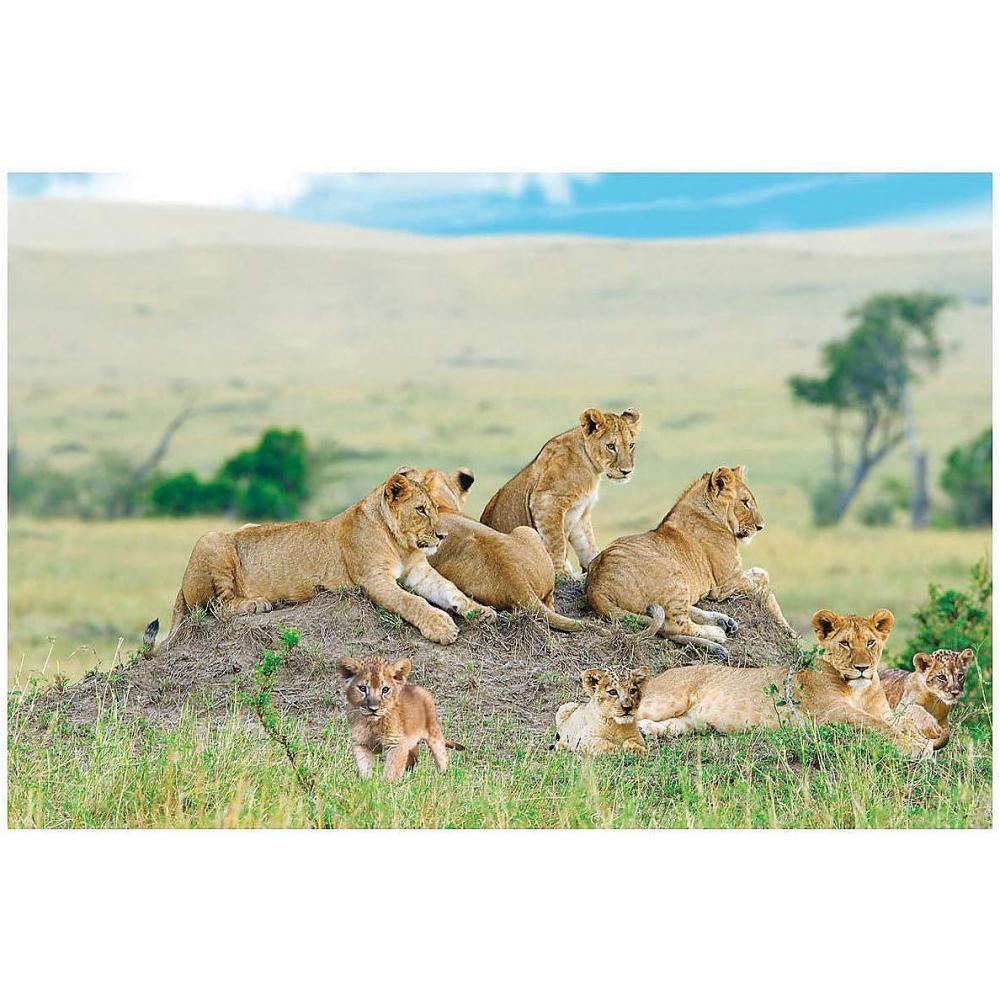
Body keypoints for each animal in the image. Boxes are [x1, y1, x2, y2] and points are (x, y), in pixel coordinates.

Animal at [150, 466, 495, 647]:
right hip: (209, 540)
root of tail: (181, 586)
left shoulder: (420, 573)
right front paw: (441, 626)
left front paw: (481, 611)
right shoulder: (373, 579)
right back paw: (257, 603)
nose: (442, 536)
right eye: (421, 510)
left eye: (436, 508)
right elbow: (411, 601)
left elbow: (451, 591)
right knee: (216, 607)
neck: (401, 543)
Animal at [480, 407, 642, 577]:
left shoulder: (581, 513)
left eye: (631, 445)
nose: (627, 471)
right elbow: (557, 542)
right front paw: (560, 573)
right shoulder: (546, 501)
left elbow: (588, 545)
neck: (590, 466)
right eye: (611, 446)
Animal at [585, 465, 792, 662]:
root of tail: (596, 586)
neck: (709, 513)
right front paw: (789, 631)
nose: (760, 527)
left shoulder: (734, 577)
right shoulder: (729, 582)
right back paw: (717, 633)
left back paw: (723, 621)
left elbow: (762, 573)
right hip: (674, 574)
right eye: (745, 502)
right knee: (673, 627)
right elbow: (767, 595)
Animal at [637, 608, 932, 759]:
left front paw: (922, 741)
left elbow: (902, 722)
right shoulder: (831, 712)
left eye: (870, 642)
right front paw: (914, 747)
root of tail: (662, 674)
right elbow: (876, 725)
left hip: (690, 722)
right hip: (668, 698)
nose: (862, 668)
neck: (859, 691)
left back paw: (646, 731)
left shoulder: (885, 712)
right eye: (845, 643)